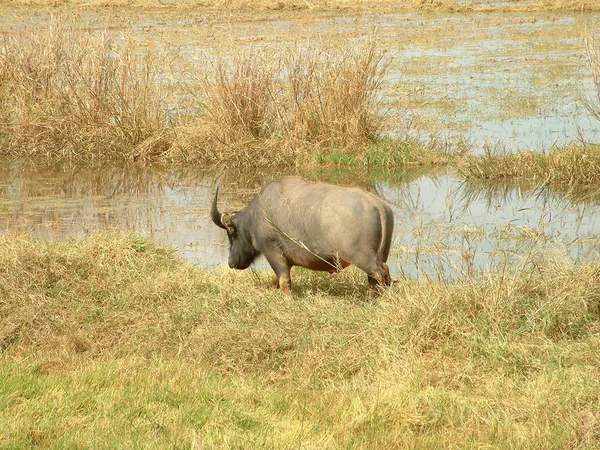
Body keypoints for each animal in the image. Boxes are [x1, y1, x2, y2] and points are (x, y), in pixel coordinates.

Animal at [211, 178, 394, 298]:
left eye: (231, 234)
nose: (231, 262)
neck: (257, 215)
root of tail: (377, 204)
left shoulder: (273, 252)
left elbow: (284, 280)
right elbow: (275, 278)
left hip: (363, 257)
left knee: (380, 275)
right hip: (380, 256)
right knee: (378, 277)